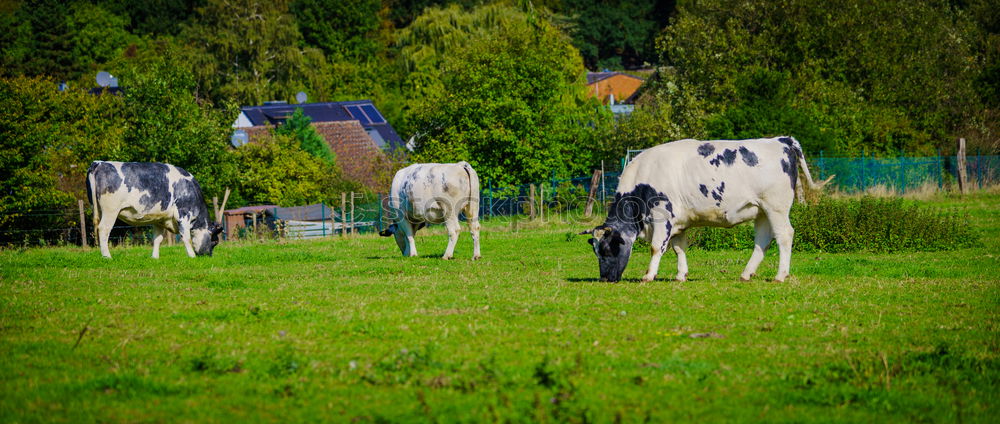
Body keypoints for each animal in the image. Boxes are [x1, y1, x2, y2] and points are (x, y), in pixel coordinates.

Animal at [87, 161, 222, 258]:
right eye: (215, 242)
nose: (208, 256)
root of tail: (99, 163)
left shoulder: (160, 219)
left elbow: (157, 239)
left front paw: (155, 257)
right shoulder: (183, 214)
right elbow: (186, 237)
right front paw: (192, 256)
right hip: (110, 210)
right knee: (104, 229)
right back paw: (107, 256)